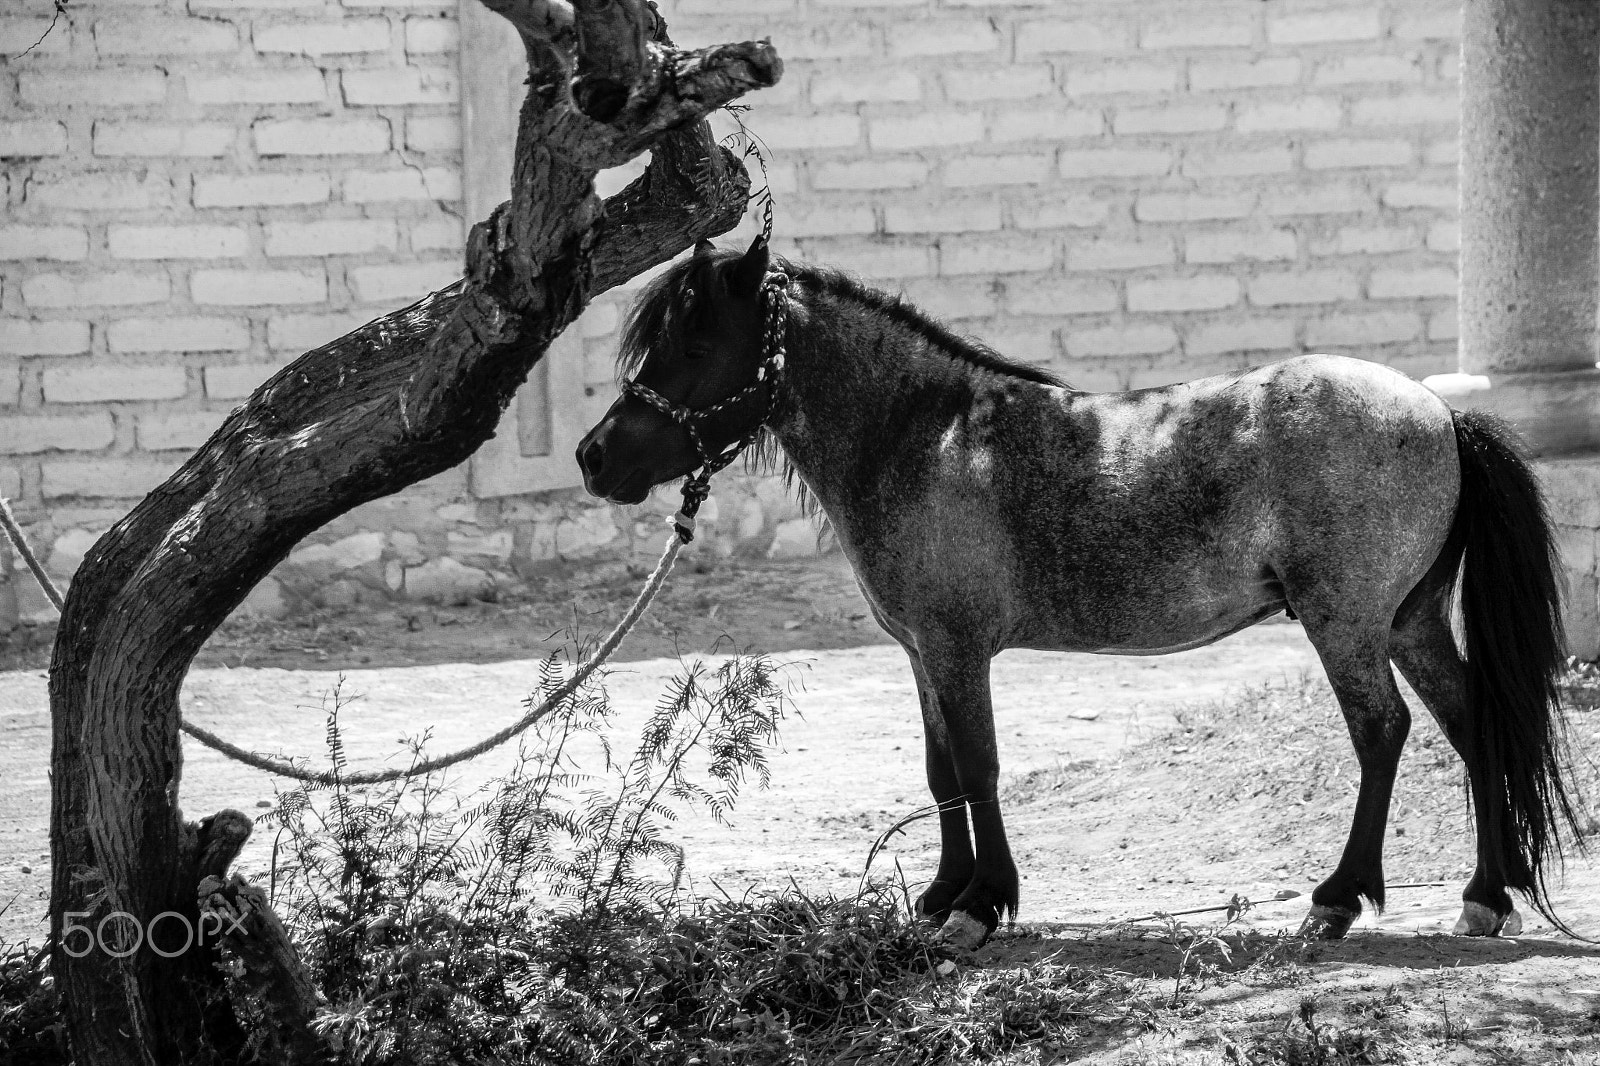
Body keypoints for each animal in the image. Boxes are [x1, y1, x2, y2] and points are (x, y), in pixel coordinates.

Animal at [575, 236, 1583, 948]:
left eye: (696, 339)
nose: (594, 457)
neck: (922, 437)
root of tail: (1439, 409)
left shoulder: (957, 649)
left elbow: (977, 768)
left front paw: (982, 906)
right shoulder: (921, 652)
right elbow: (940, 772)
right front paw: (939, 896)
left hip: (1348, 623)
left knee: (1383, 732)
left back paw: (1336, 902)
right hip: (1410, 621)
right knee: (1474, 724)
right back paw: (1485, 898)